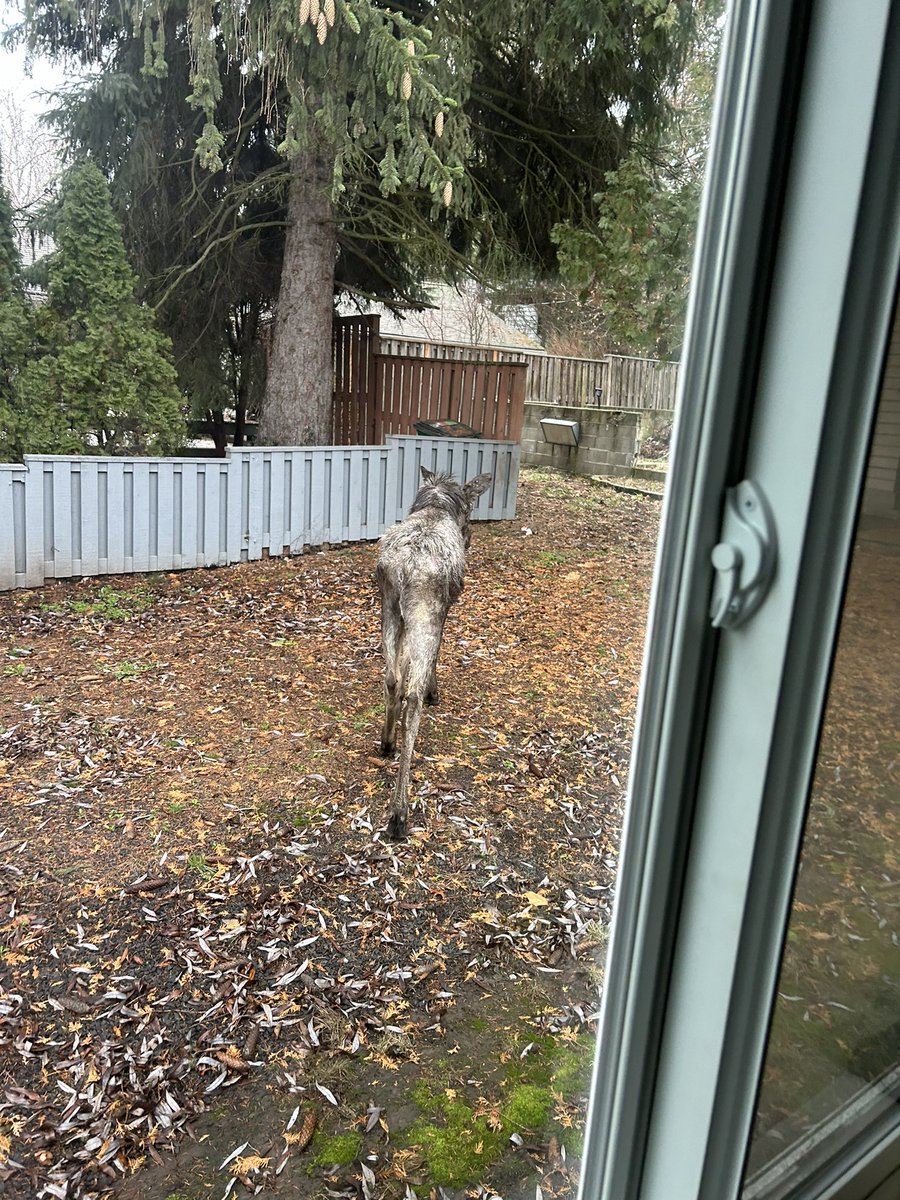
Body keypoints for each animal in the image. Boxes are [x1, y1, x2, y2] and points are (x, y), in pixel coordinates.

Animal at [374, 463, 494, 840]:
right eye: (470, 510)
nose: (471, 536)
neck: (439, 506)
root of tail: (405, 567)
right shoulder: (444, 611)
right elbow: (437, 657)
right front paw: (434, 691)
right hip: (424, 612)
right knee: (411, 696)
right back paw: (399, 812)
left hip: (389, 608)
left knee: (392, 678)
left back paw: (387, 742)